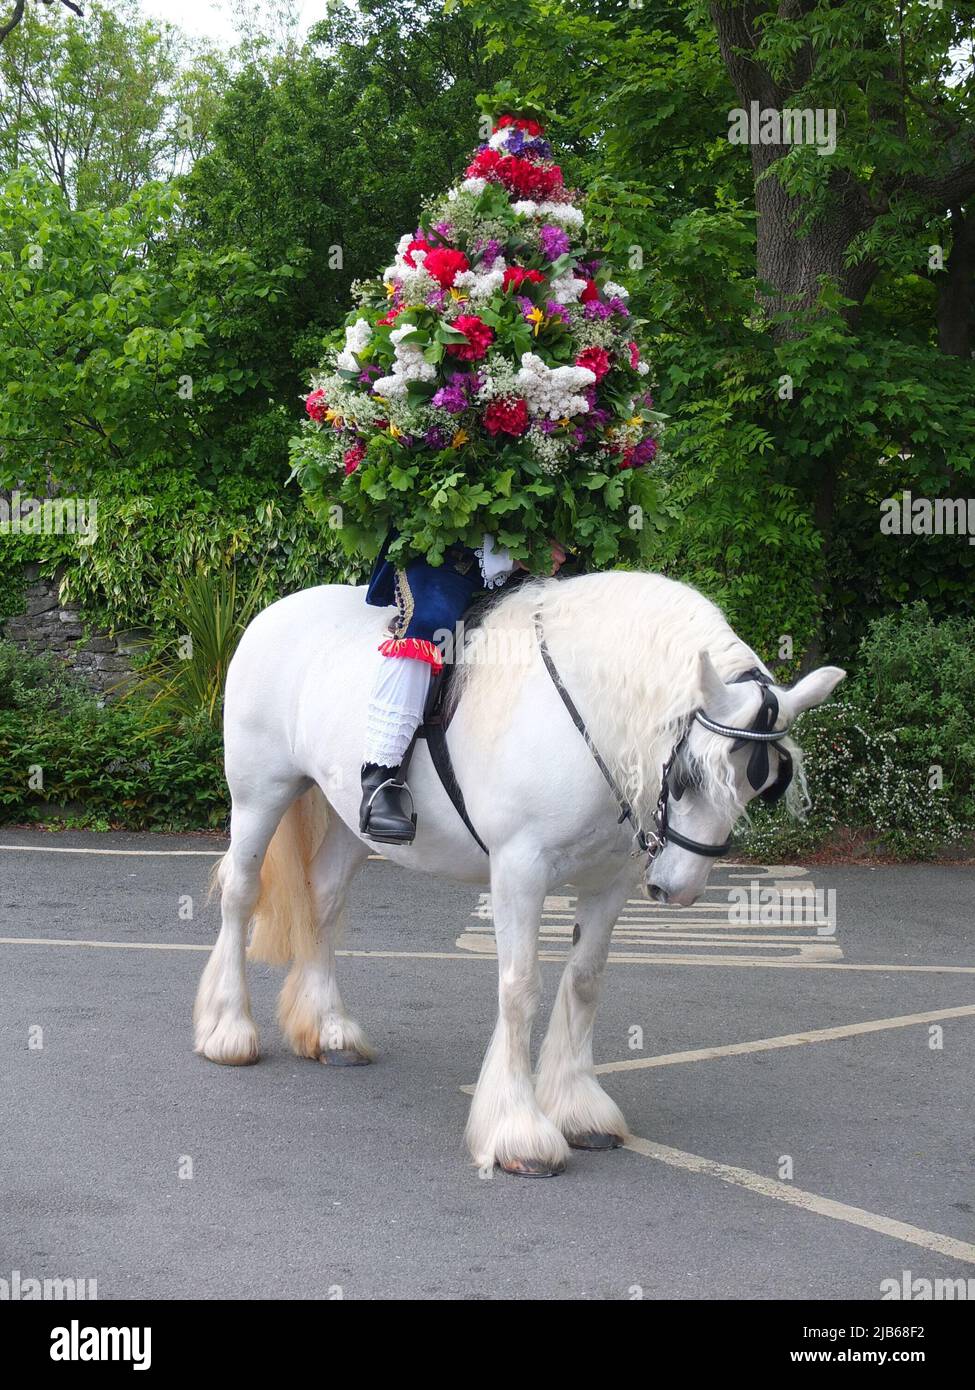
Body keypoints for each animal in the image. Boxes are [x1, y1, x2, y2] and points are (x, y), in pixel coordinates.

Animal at [193, 569, 840, 1178]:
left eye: (760, 785)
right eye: (690, 775)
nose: (677, 889)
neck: (588, 717)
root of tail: (274, 613)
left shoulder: (610, 881)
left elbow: (584, 981)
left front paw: (578, 1107)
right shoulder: (519, 872)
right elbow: (520, 986)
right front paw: (518, 1130)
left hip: (350, 822)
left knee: (323, 901)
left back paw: (328, 1029)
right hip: (260, 795)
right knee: (241, 895)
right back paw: (228, 1029)